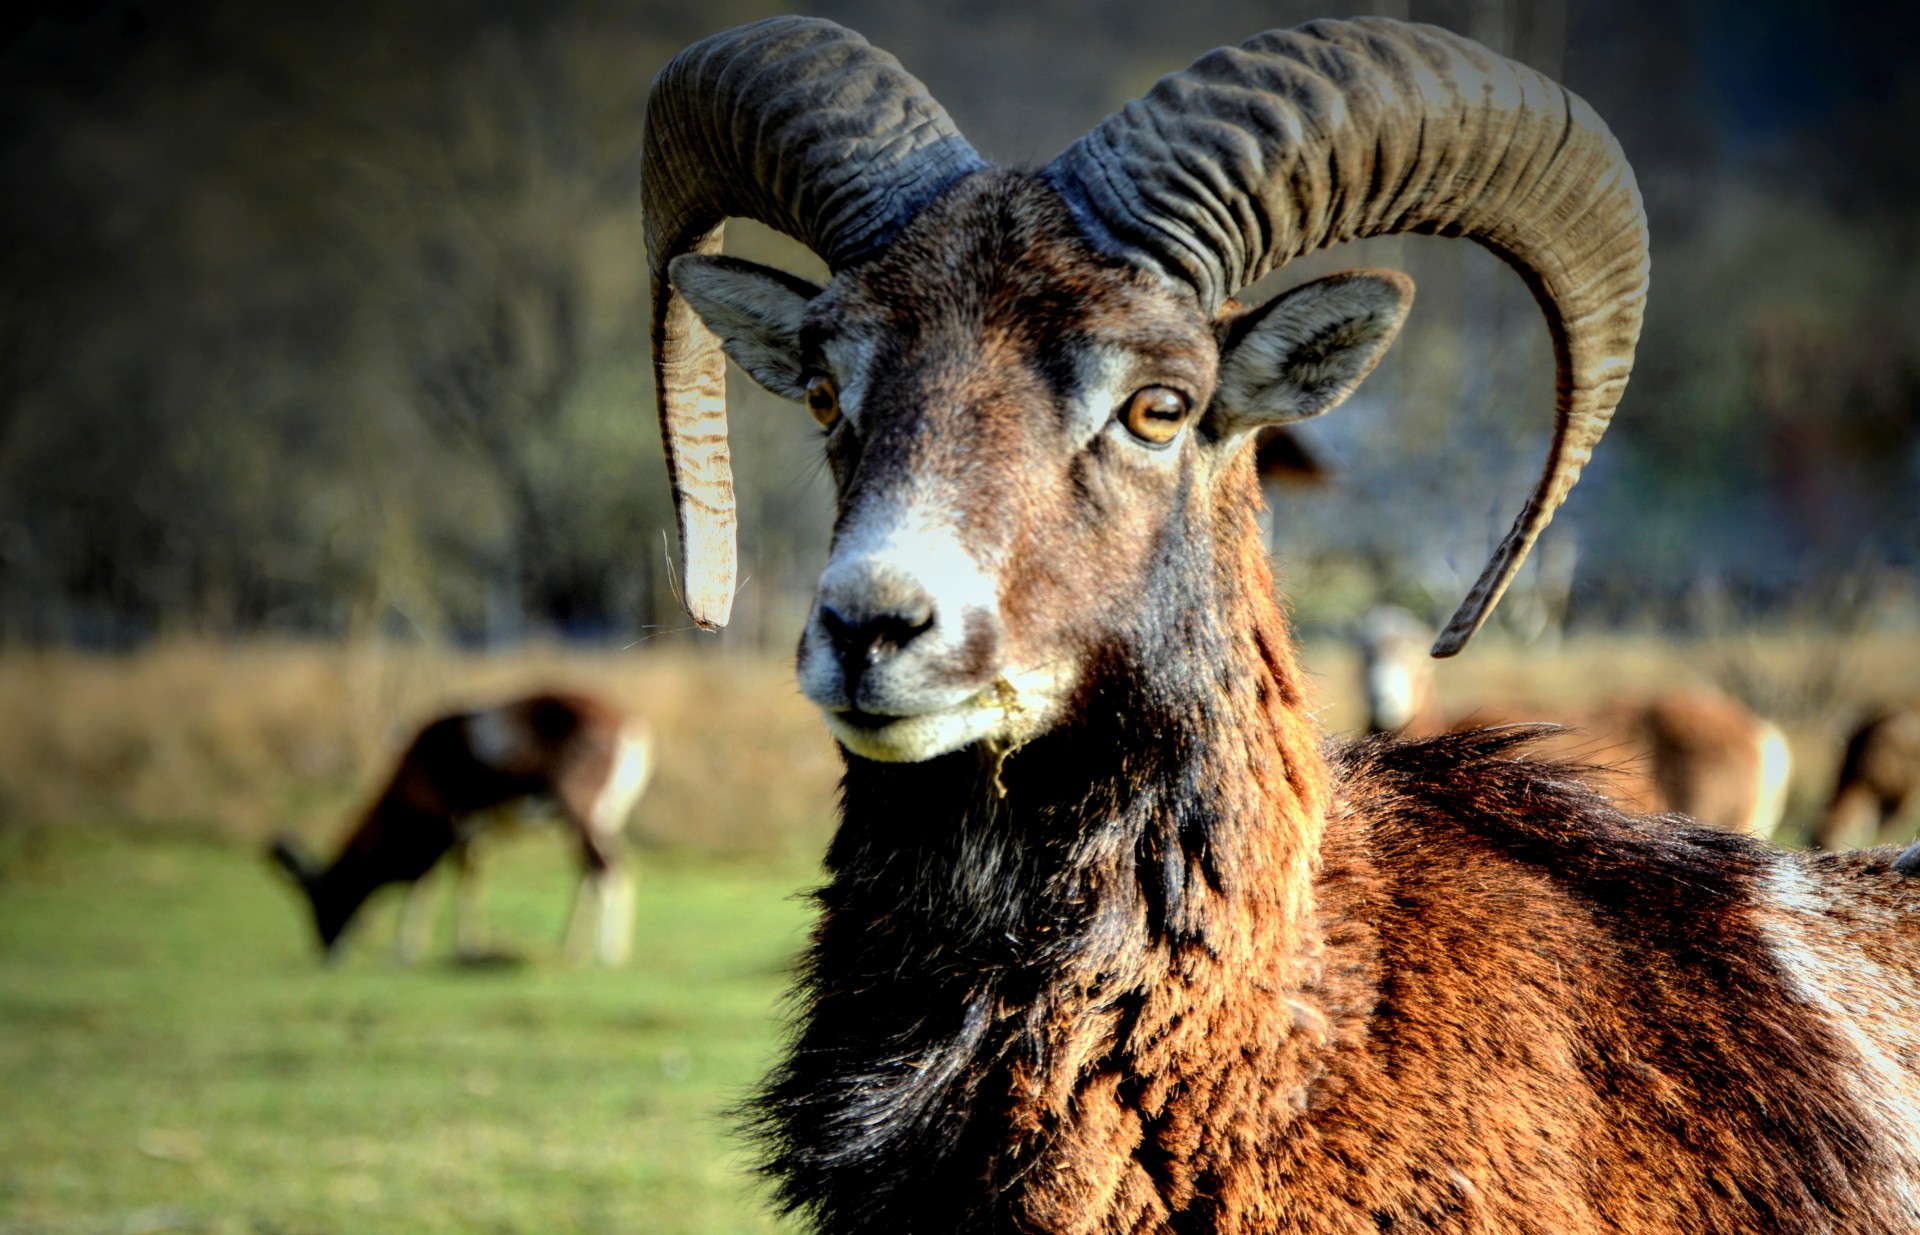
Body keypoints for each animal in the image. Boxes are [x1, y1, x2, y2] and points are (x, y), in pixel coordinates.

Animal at [263, 695, 656, 968]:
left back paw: (606, 954)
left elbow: (425, 883)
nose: (326, 952)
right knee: (595, 871)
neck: (423, 757)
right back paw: (571, 949)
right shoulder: (473, 835)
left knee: (606, 870)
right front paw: (468, 947)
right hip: (594, 822)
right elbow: (468, 881)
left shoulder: (447, 830)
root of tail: (631, 728)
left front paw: (404, 951)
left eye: (322, 898)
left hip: (582, 818)